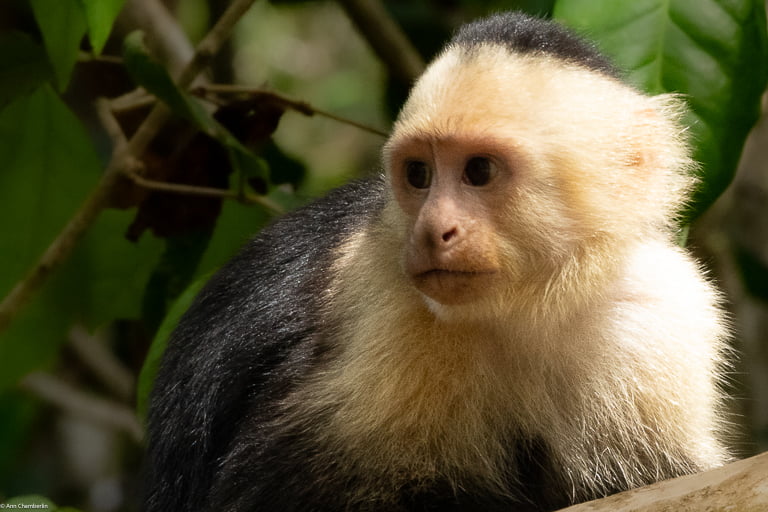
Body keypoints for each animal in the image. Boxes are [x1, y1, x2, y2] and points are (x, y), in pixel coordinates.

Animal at [143, 11, 732, 512]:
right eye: (418, 175)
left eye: (479, 171)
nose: (431, 230)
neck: (528, 306)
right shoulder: (385, 306)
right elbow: (270, 491)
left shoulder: (661, 315)